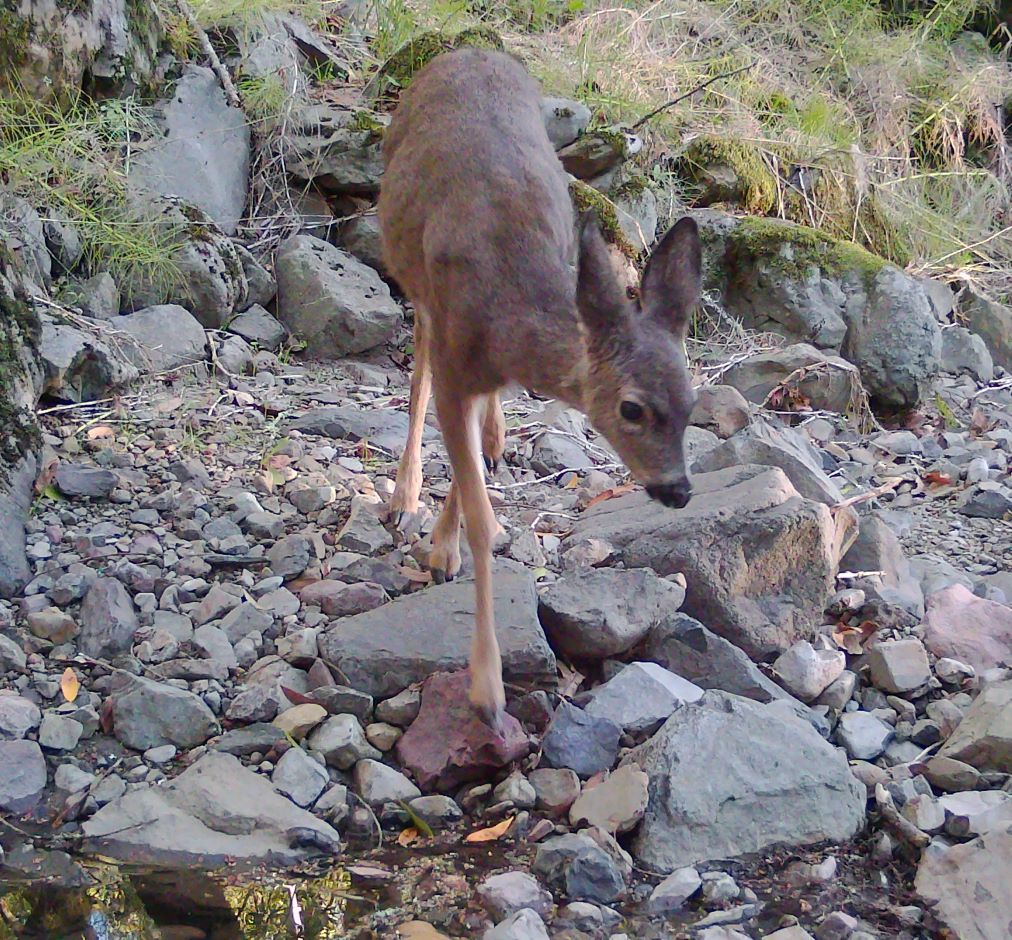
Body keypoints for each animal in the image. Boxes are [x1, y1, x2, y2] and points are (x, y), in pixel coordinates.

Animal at [377, 48, 702, 731]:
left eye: (692, 405)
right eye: (632, 408)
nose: (678, 491)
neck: (508, 314)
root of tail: (467, 49)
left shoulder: (475, 376)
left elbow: (471, 468)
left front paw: (444, 545)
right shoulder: (454, 357)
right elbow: (481, 519)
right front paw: (486, 688)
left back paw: (495, 442)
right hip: (413, 277)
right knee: (416, 373)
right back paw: (404, 493)